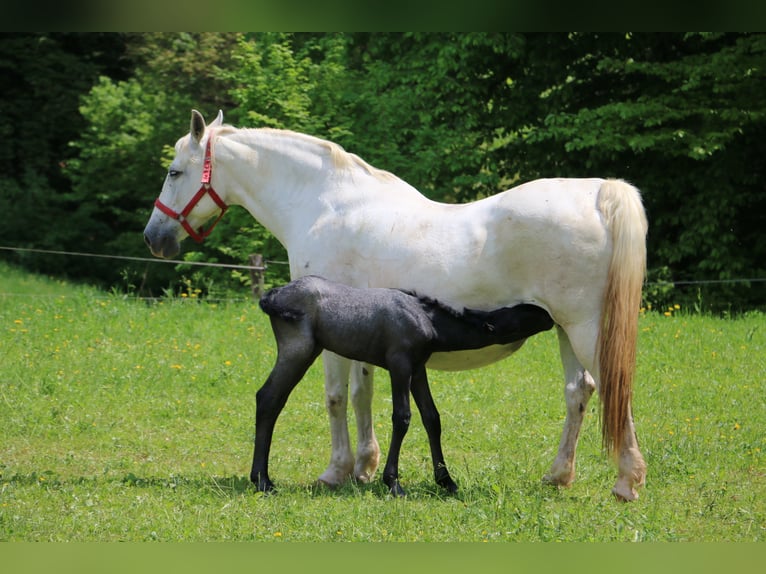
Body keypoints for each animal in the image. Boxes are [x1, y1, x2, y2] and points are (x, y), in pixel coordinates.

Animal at [144, 110, 648, 502]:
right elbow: (362, 395)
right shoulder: (366, 336)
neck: (326, 204)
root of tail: (599, 193)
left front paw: (336, 471)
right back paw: (558, 476)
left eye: (174, 172)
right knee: (579, 392)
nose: (154, 237)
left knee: (612, 391)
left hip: (583, 329)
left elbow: (335, 397)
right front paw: (365, 468)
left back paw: (627, 482)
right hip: (564, 330)